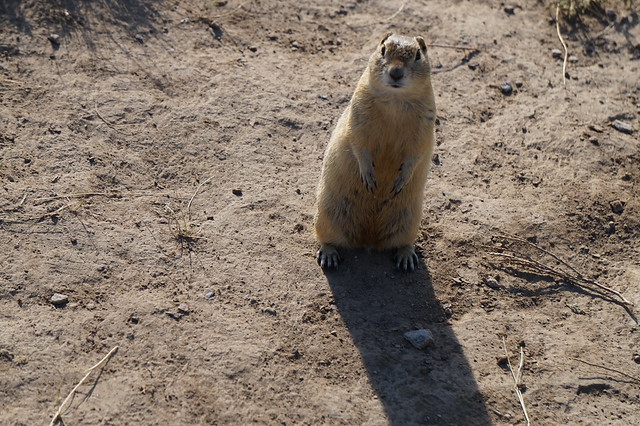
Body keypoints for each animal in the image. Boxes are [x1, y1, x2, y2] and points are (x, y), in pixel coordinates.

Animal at [314, 33, 436, 272]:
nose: (396, 72)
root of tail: (367, 240)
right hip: (326, 216)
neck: (395, 100)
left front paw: (400, 181)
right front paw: (369, 178)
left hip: (408, 222)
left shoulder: (426, 127)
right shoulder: (358, 116)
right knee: (327, 239)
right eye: (382, 50)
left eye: (418, 54)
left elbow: (416, 153)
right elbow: (358, 144)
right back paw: (329, 255)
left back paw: (406, 258)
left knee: (402, 243)